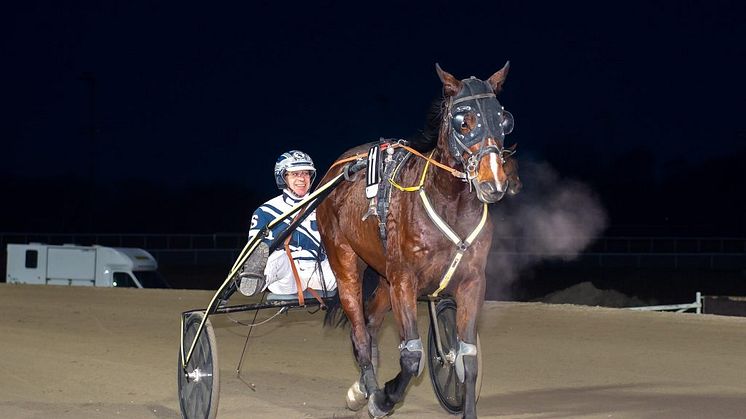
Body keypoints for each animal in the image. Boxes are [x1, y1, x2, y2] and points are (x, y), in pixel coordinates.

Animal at [316, 63, 516, 419]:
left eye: (503, 119)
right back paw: (368, 389)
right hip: (346, 261)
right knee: (359, 330)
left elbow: (466, 357)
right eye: (463, 121)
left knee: (371, 321)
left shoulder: (472, 281)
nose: (492, 182)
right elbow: (412, 356)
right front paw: (383, 398)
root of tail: (336, 170)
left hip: (384, 275)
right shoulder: (405, 280)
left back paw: (361, 387)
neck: (449, 202)